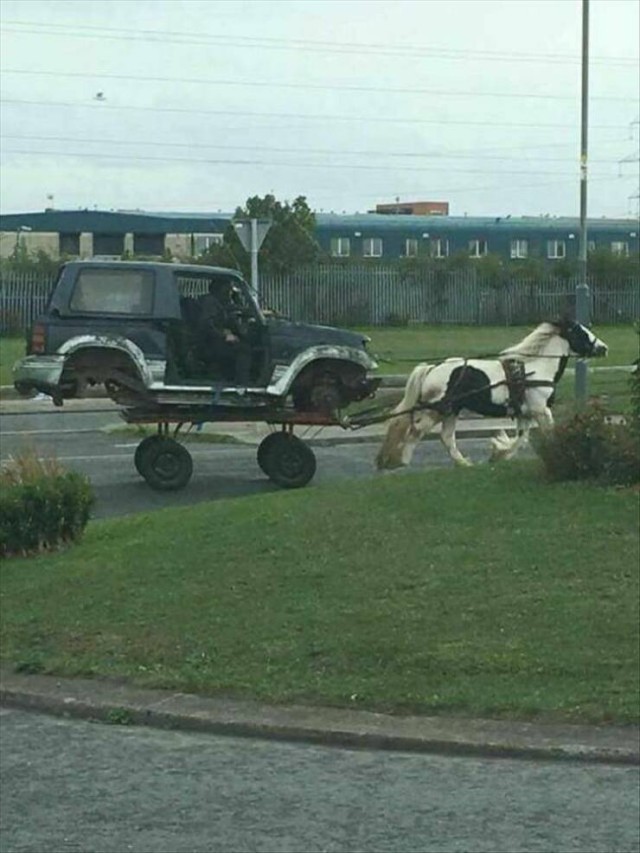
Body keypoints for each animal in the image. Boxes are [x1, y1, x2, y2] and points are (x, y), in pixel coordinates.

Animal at [376, 318, 608, 470]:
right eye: (581, 332)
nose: (604, 348)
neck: (535, 369)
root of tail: (432, 368)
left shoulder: (524, 413)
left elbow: (522, 438)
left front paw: (499, 454)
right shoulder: (540, 410)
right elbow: (547, 432)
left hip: (451, 411)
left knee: (446, 437)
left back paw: (463, 463)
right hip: (437, 410)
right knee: (416, 431)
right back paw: (402, 461)